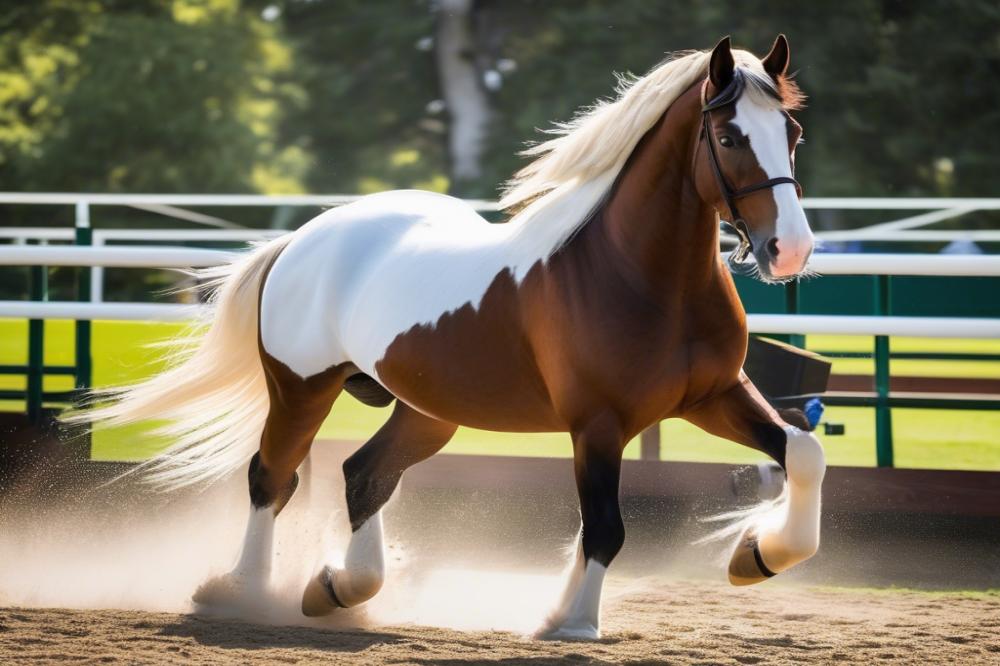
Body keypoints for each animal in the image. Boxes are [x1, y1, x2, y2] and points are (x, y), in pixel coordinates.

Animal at [78, 36, 824, 640]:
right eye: (728, 137)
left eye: (791, 131)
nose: (788, 250)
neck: (636, 275)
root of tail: (301, 239)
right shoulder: (598, 424)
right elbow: (605, 526)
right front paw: (571, 621)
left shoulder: (715, 396)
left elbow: (803, 452)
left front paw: (758, 556)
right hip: (301, 389)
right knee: (273, 476)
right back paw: (240, 592)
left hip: (427, 412)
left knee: (363, 475)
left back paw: (338, 588)